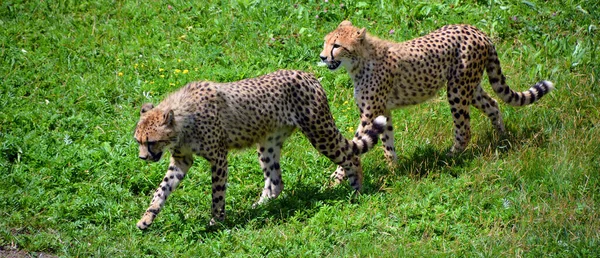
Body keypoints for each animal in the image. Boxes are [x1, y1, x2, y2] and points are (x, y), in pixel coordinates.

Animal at [134, 69, 386, 229]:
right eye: (138, 141)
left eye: (151, 141)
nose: (142, 158)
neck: (183, 120)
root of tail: (308, 74)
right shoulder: (181, 159)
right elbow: (162, 189)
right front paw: (146, 219)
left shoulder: (218, 157)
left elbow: (217, 194)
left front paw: (216, 222)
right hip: (267, 144)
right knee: (276, 182)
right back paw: (258, 208)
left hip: (319, 132)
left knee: (351, 156)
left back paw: (357, 190)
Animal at [318, 20, 552, 171]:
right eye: (325, 42)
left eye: (336, 46)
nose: (322, 56)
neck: (359, 62)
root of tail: (476, 30)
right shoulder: (383, 112)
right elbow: (386, 142)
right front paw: (394, 169)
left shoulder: (369, 114)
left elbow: (352, 145)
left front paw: (336, 180)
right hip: (470, 87)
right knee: (493, 104)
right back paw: (501, 139)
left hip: (457, 89)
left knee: (464, 129)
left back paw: (449, 158)